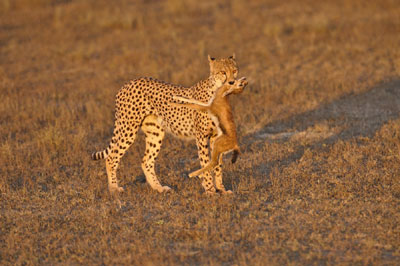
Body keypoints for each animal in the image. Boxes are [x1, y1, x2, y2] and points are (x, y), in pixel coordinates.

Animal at [91, 55, 238, 194]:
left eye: (234, 71)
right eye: (223, 72)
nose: (232, 82)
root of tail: (128, 83)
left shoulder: (216, 136)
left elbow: (217, 164)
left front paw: (221, 189)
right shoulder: (201, 136)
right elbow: (205, 162)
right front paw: (210, 190)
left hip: (155, 133)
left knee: (146, 161)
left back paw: (159, 188)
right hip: (128, 129)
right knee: (111, 157)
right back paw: (114, 188)